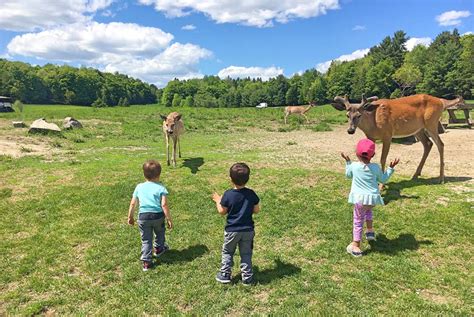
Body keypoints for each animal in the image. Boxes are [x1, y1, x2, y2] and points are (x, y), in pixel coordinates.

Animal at [332, 93, 464, 183]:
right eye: (347, 115)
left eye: (359, 115)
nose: (350, 130)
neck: (373, 123)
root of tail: (441, 102)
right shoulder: (370, 137)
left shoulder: (387, 134)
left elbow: (383, 159)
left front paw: (382, 184)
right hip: (418, 129)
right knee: (428, 144)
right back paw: (416, 174)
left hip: (431, 122)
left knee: (440, 144)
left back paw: (441, 178)